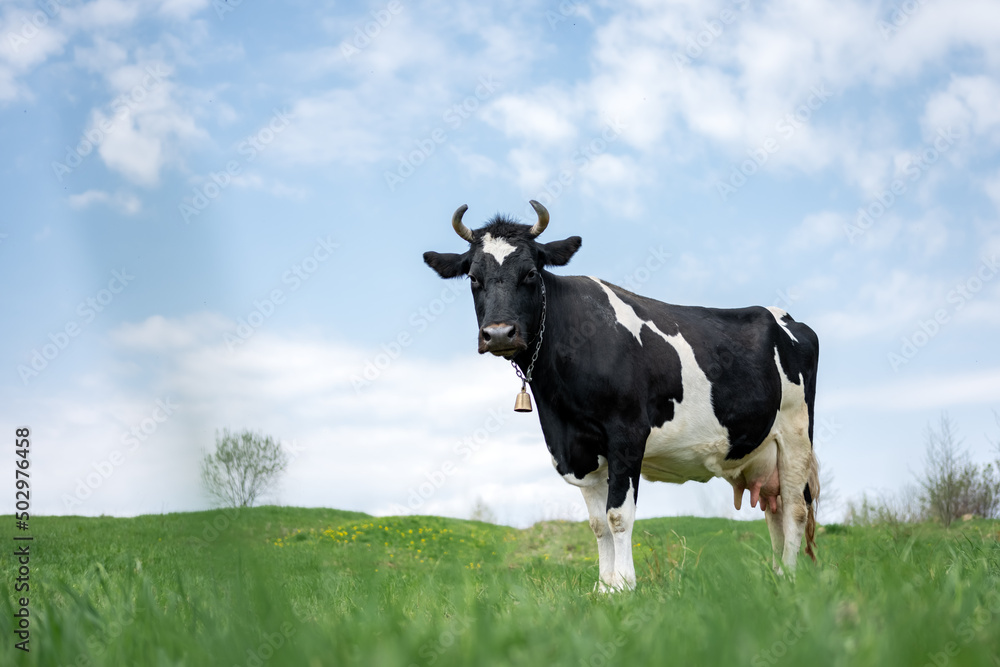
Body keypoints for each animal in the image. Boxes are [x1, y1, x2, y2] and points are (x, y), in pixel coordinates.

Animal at [422, 201, 820, 592]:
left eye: (531, 273)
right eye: (474, 278)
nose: (500, 333)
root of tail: (786, 318)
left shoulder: (627, 434)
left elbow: (618, 515)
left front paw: (625, 586)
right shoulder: (577, 448)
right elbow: (598, 523)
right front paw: (604, 589)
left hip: (796, 434)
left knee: (795, 509)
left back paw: (789, 578)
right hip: (764, 452)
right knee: (774, 509)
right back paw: (775, 578)